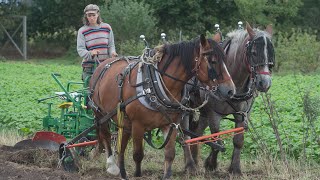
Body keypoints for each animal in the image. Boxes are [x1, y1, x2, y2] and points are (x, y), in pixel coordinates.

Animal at [90, 34, 235, 179]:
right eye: (213, 61)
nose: (231, 90)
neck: (154, 84)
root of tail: (102, 64)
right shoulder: (138, 125)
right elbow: (138, 155)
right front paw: (137, 174)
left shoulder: (171, 124)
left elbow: (170, 154)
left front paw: (167, 174)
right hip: (100, 113)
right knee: (106, 135)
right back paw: (112, 165)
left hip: (124, 119)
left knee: (122, 142)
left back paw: (122, 172)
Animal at [185, 22, 276, 174]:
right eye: (254, 53)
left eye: (271, 53)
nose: (265, 83)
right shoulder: (214, 114)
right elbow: (216, 141)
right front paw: (211, 164)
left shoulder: (242, 115)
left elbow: (238, 141)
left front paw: (235, 169)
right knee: (185, 134)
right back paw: (189, 164)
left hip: (203, 113)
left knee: (197, 132)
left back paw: (195, 160)